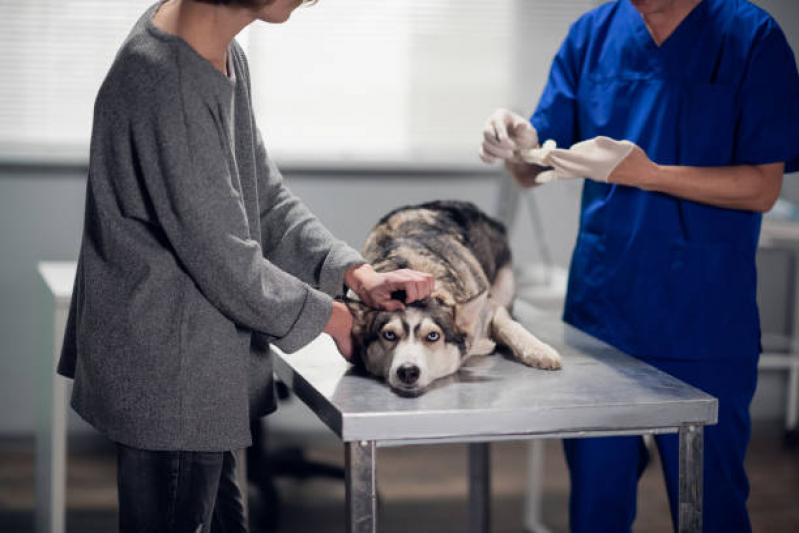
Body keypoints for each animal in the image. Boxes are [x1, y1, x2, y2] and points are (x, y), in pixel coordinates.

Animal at [346, 200, 564, 394]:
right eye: (389, 335)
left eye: (433, 336)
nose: (407, 371)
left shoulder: (489, 306)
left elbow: (508, 326)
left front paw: (539, 350)